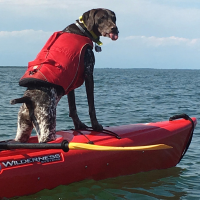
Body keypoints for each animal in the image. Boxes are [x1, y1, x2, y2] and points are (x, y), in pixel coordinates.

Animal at [10, 7, 119, 142]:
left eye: (114, 18)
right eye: (102, 18)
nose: (115, 29)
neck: (82, 30)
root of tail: (28, 99)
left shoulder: (71, 81)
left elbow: (73, 108)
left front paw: (79, 125)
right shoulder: (89, 73)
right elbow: (91, 106)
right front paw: (96, 126)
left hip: (22, 130)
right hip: (47, 128)